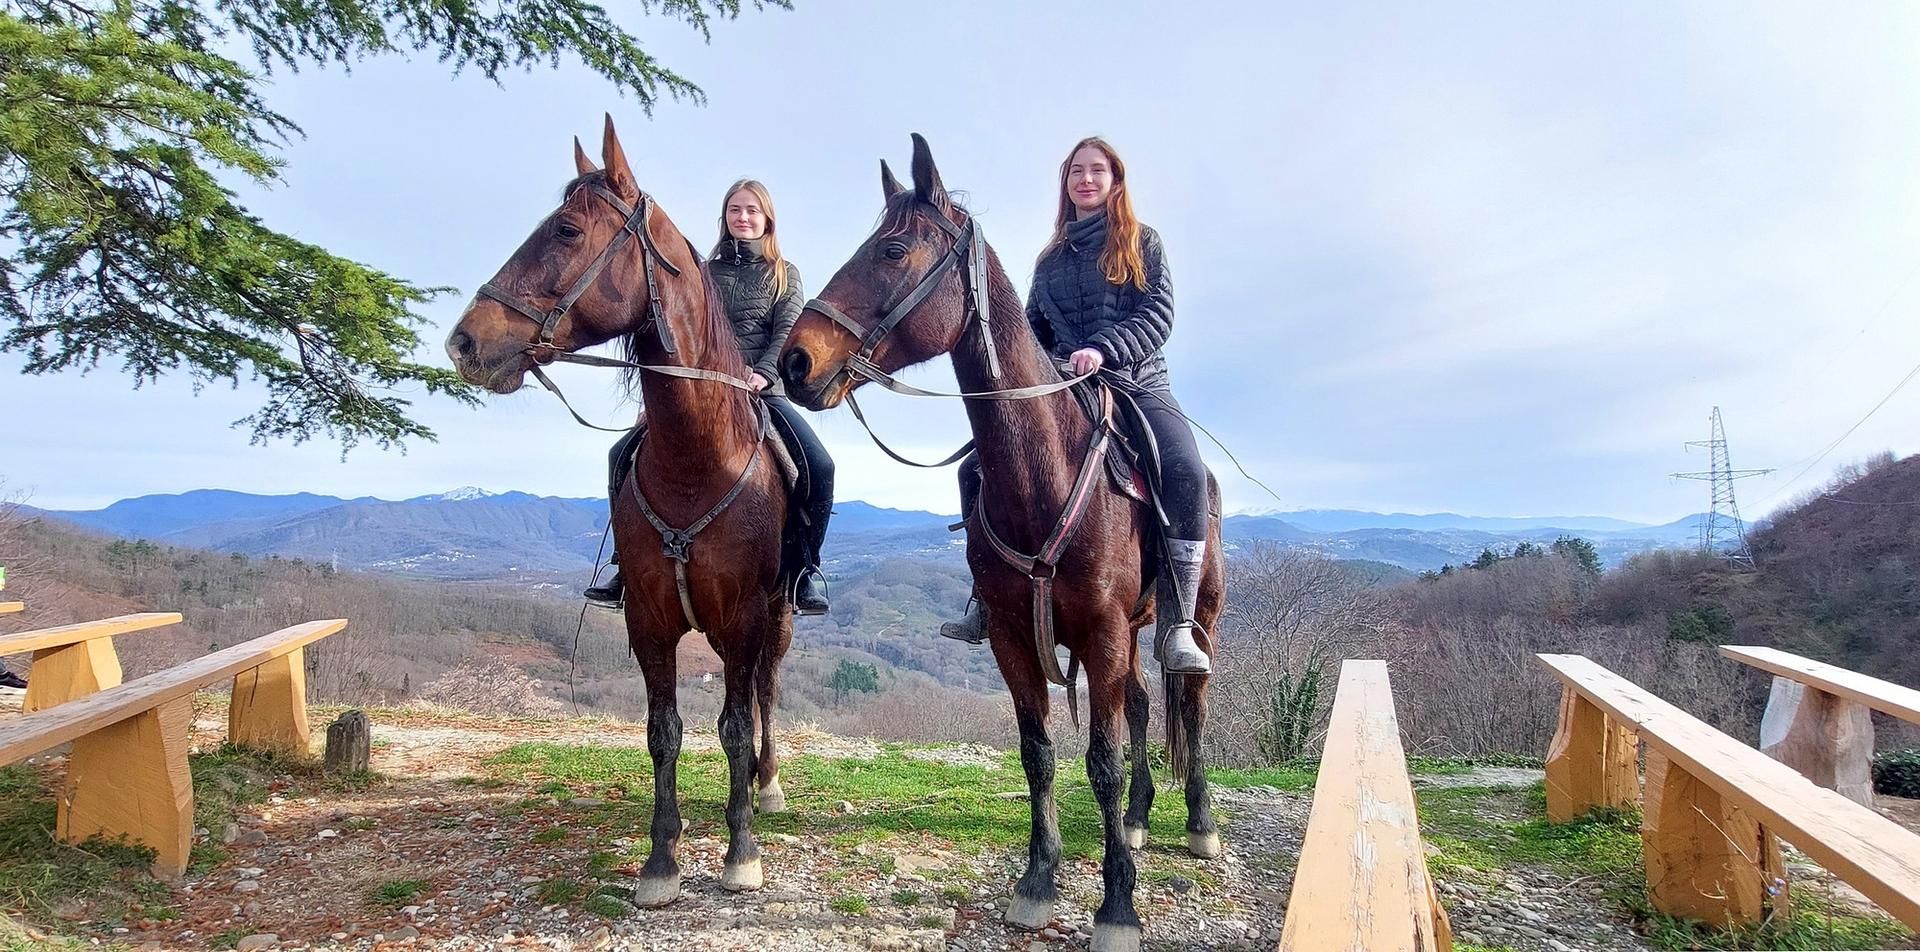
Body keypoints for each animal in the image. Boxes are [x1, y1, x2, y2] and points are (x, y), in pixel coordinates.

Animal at [445, 115, 791, 902]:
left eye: (568, 230)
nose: (465, 341)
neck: (696, 461)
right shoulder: (650, 620)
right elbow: (663, 732)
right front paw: (662, 858)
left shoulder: (743, 617)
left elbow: (731, 726)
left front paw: (741, 853)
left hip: (780, 615)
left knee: (765, 690)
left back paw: (768, 784)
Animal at [771, 135, 1221, 952]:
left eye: (892, 249)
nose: (797, 362)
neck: (1044, 471)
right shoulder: (1016, 637)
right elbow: (1039, 754)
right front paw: (1039, 882)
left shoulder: (1102, 633)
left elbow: (1100, 763)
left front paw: (1117, 906)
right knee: (1145, 705)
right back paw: (1139, 821)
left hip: (1192, 617)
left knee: (1192, 703)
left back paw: (1197, 823)